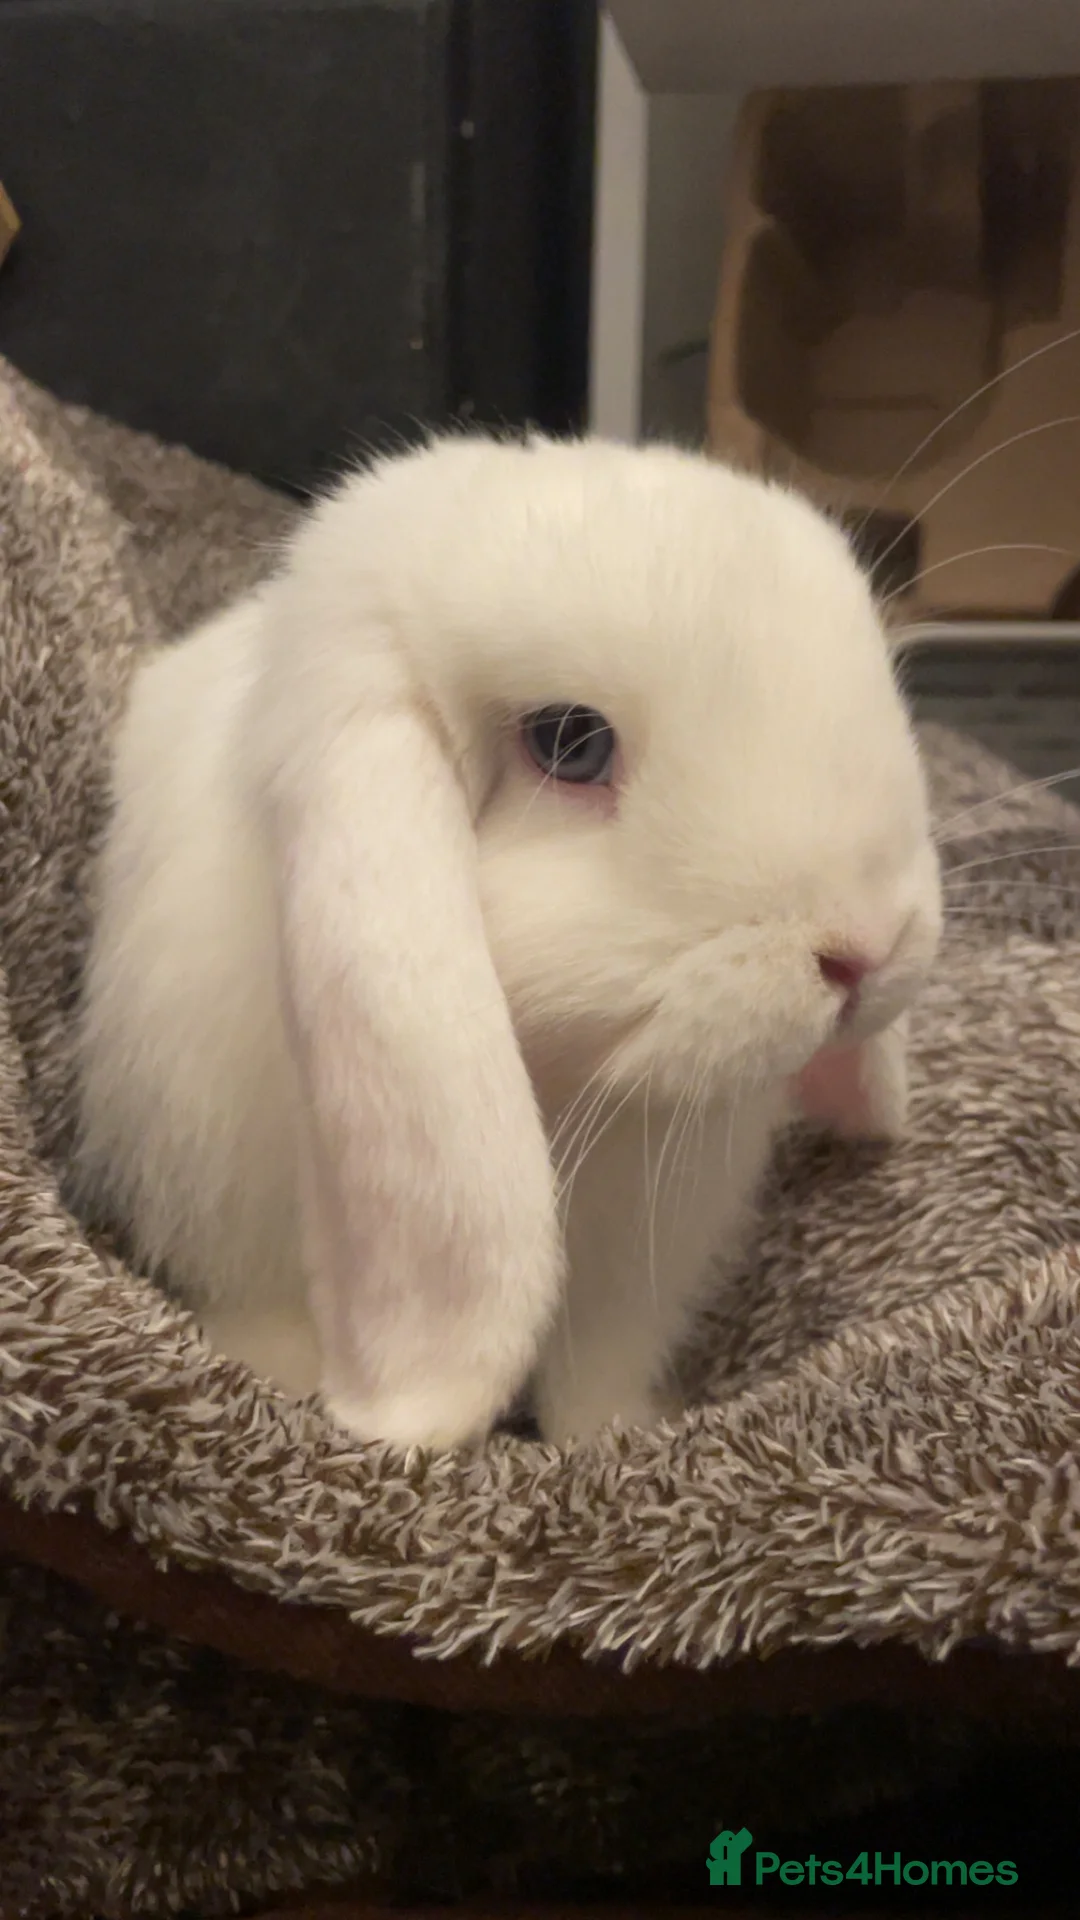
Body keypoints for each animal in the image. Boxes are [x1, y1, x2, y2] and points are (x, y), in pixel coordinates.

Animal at [73, 433, 942, 1448]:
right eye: (569, 743)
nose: (866, 948)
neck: (574, 1099)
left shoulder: (629, 1289)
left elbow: (598, 1380)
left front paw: (621, 1434)